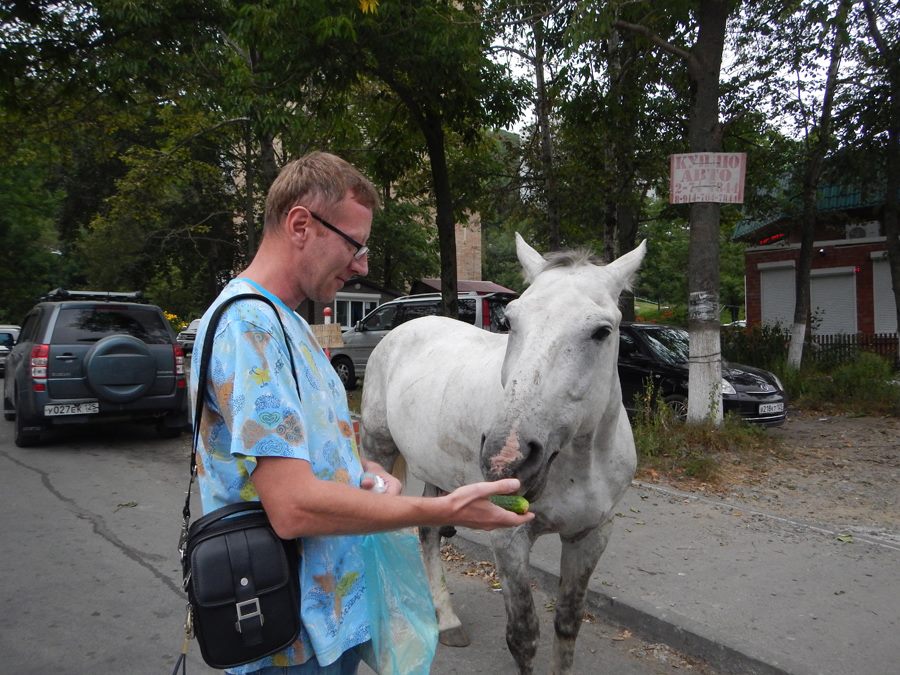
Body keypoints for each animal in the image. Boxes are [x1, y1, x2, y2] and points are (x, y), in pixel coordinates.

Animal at [358, 234, 648, 675]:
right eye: (510, 321)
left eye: (602, 331)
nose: (506, 458)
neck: (579, 464)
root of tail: (402, 329)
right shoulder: (509, 537)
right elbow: (523, 635)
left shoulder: (591, 535)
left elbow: (568, 623)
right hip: (379, 448)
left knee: (428, 533)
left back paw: (447, 620)